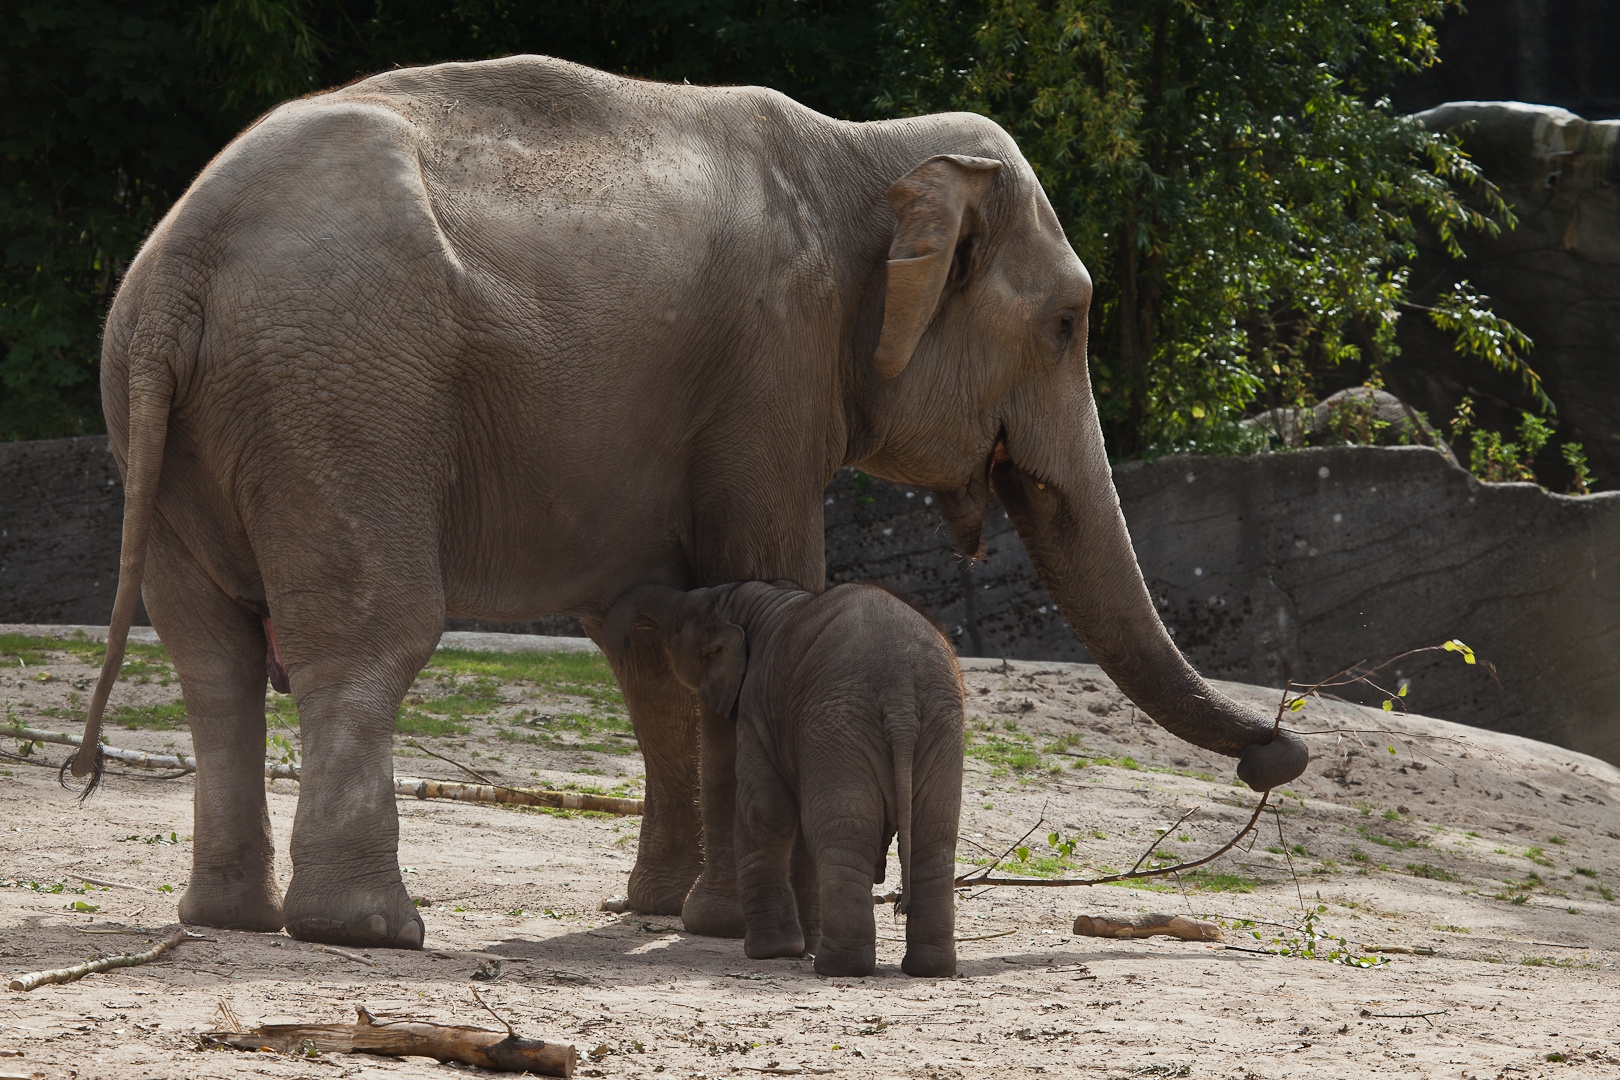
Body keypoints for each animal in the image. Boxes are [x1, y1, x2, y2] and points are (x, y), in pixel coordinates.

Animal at [609, 582, 959, 977]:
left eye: (678, 626)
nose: (623, 638)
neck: (760, 601)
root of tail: (900, 697)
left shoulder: (758, 707)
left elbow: (765, 810)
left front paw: (773, 951)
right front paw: (796, 946)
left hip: (840, 723)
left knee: (845, 832)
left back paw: (837, 967)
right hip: (938, 725)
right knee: (933, 835)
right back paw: (929, 968)